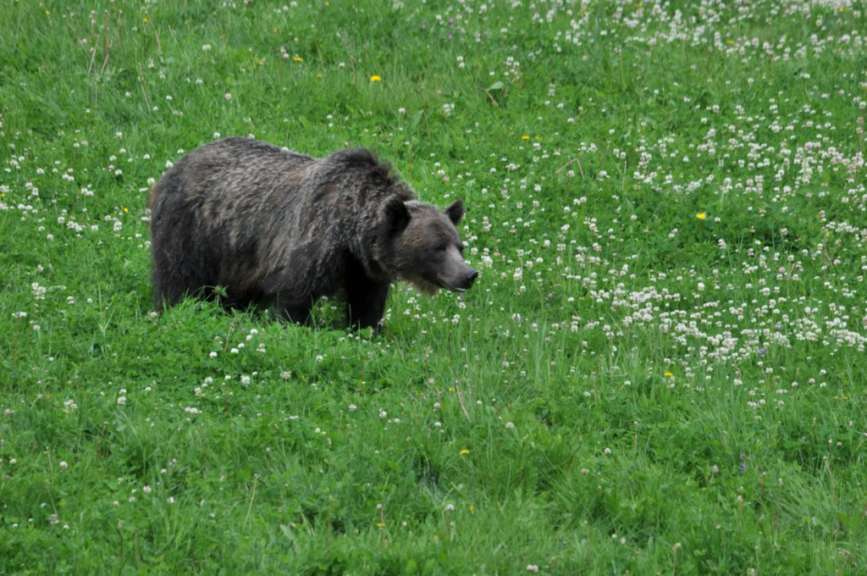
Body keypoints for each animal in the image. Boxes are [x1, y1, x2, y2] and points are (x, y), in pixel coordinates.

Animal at [149, 137, 477, 329]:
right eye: (436, 247)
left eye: (459, 246)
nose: (469, 274)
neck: (351, 234)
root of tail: (177, 163)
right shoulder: (312, 242)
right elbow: (294, 296)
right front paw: (297, 326)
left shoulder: (364, 270)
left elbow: (367, 303)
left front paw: (366, 328)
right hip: (194, 228)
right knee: (178, 277)